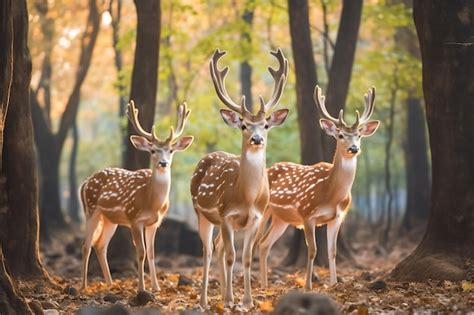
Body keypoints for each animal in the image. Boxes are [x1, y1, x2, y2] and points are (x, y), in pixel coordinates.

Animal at [79, 100, 193, 292]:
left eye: (170, 150)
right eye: (153, 150)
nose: (163, 163)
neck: (151, 202)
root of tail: (85, 183)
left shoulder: (154, 223)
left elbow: (152, 253)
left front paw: (156, 287)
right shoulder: (134, 219)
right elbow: (141, 253)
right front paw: (141, 288)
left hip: (110, 219)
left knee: (100, 245)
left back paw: (110, 284)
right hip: (91, 210)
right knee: (86, 245)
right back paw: (83, 286)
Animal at [192, 48, 288, 308]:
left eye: (266, 125)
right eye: (244, 125)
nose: (257, 139)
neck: (247, 197)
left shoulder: (255, 217)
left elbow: (246, 256)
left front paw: (247, 301)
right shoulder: (226, 214)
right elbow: (231, 257)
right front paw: (228, 300)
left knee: (218, 247)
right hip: (201, 213)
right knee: (208, 251)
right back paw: (205, 300)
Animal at [254, 84, 380, 292]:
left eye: (359, 136)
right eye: (340, 135)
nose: (354, 148)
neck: (330, 194)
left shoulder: (337, 217)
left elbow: (332, 251)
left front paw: (334, 283)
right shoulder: (307, 214)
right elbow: (312, 250)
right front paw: (307, 286)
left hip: (282, 218)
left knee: (264, 244)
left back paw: (264, 285)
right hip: (264, 210)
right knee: (254, 243)